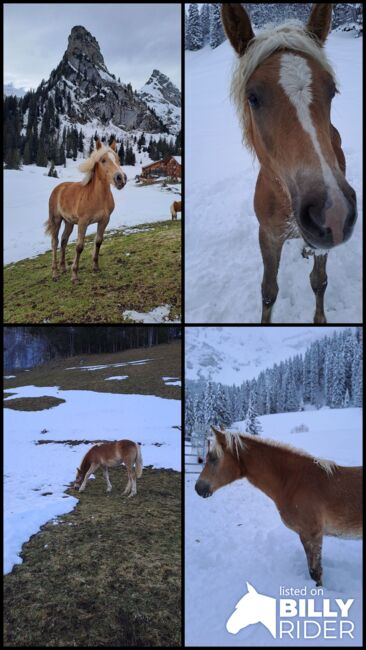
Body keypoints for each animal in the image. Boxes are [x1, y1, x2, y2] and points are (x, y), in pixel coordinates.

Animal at [45, 139, 127, 280]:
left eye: (118, 159)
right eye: (103, 160)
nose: (120, 178)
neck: (96, 197)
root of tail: (58, 188)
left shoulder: (104, 220)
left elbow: (98, 242)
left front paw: (95, 268)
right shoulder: (83, 222)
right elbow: (79, 247)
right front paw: (74, 275)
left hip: (69, 222)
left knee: (64, 241)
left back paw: (63, 268)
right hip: (56, 220)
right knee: (55, 242)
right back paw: (55, 273)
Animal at [222, 2, 356, 322]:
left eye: (331, 90)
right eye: (253, 97)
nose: (332, 212)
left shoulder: (322, 245)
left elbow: (319, 281)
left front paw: (319, 320)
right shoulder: (268, 237)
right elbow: (268, 291)